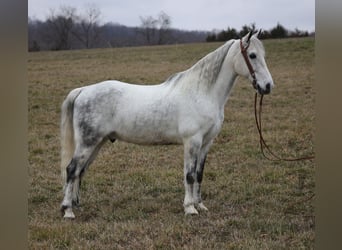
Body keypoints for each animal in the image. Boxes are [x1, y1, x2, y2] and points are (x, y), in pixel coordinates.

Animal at [60, 29, 274, 219]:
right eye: (252, 55)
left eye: (263, 54)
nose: (268, 86)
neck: (201, 92)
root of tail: (83, 90)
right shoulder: (192, 141)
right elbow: (189, 175)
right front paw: (190, 208)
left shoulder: (206, 143)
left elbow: (199, 174)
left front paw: (200, 205)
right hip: (88, 143)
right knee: (72, 169)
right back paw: (68, 210)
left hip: (98, 142)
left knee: (80, 171)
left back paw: (76, 204)